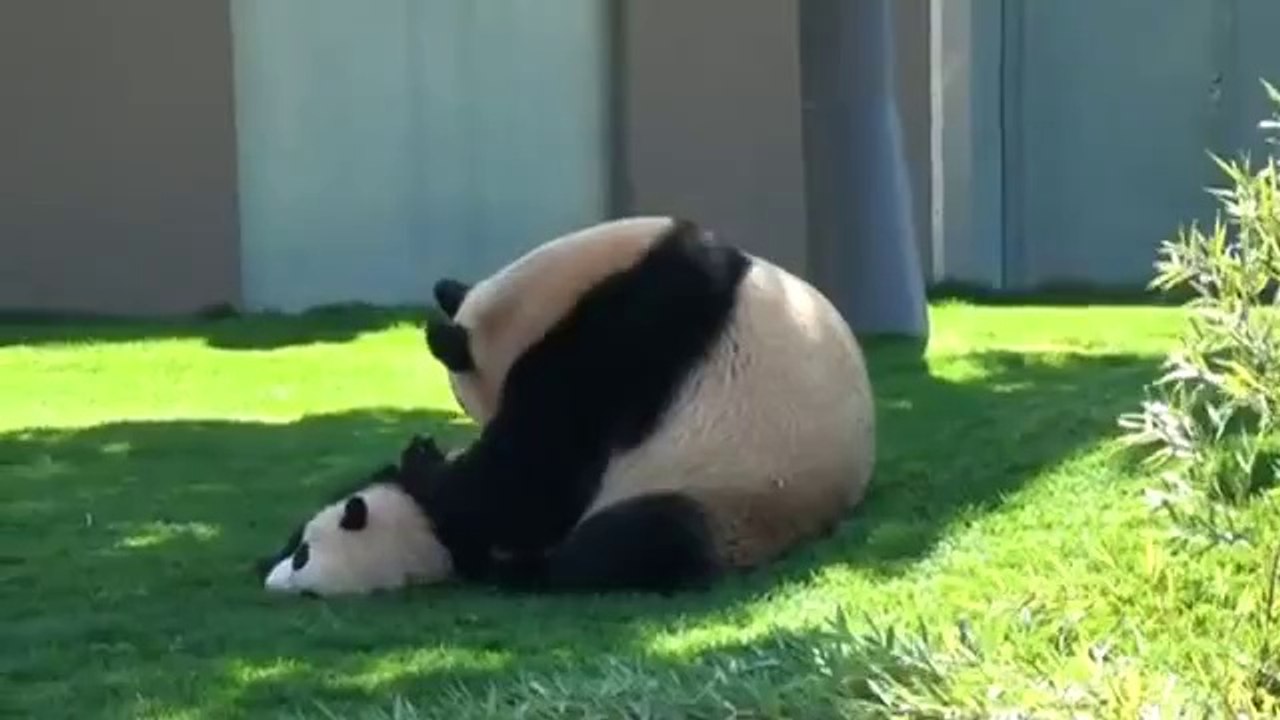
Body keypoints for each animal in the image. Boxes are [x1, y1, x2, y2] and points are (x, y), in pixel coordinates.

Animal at [262, 215, 876, 596]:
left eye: (462, 397)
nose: (463, 434)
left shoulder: (624, 339)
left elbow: (537, 472)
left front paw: (428, 468)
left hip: (732, 495)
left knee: (644, 539)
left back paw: (531, 569)